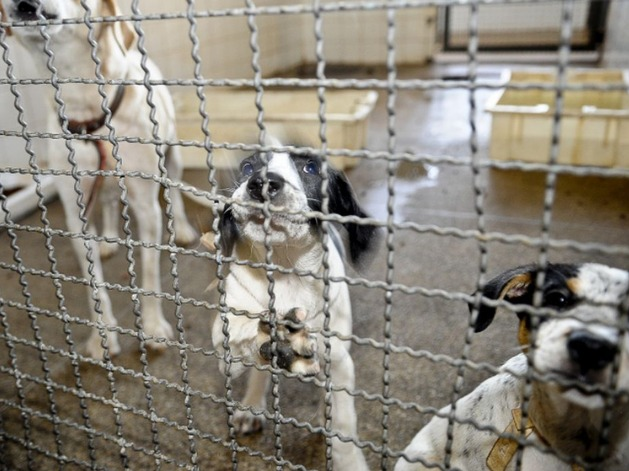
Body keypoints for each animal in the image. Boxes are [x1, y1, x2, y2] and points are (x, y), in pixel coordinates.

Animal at [0, 0, 196, 358]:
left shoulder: (146, 207)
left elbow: (149, 275)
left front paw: (153, 328)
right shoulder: (76, 215)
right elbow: (94, 286)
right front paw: (101, 334)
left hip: (172, 154)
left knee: (173, 193)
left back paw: (184, 229)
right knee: (108, 203)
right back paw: (107, 239)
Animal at [211, 142, 378, 470]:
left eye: (310, 168)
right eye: (247, 167)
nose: (261, 183)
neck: (286, 269)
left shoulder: (339, 360)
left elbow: (344, 419)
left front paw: (348, 460)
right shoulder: (226, 337)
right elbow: (241, 337)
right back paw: (252, 403)